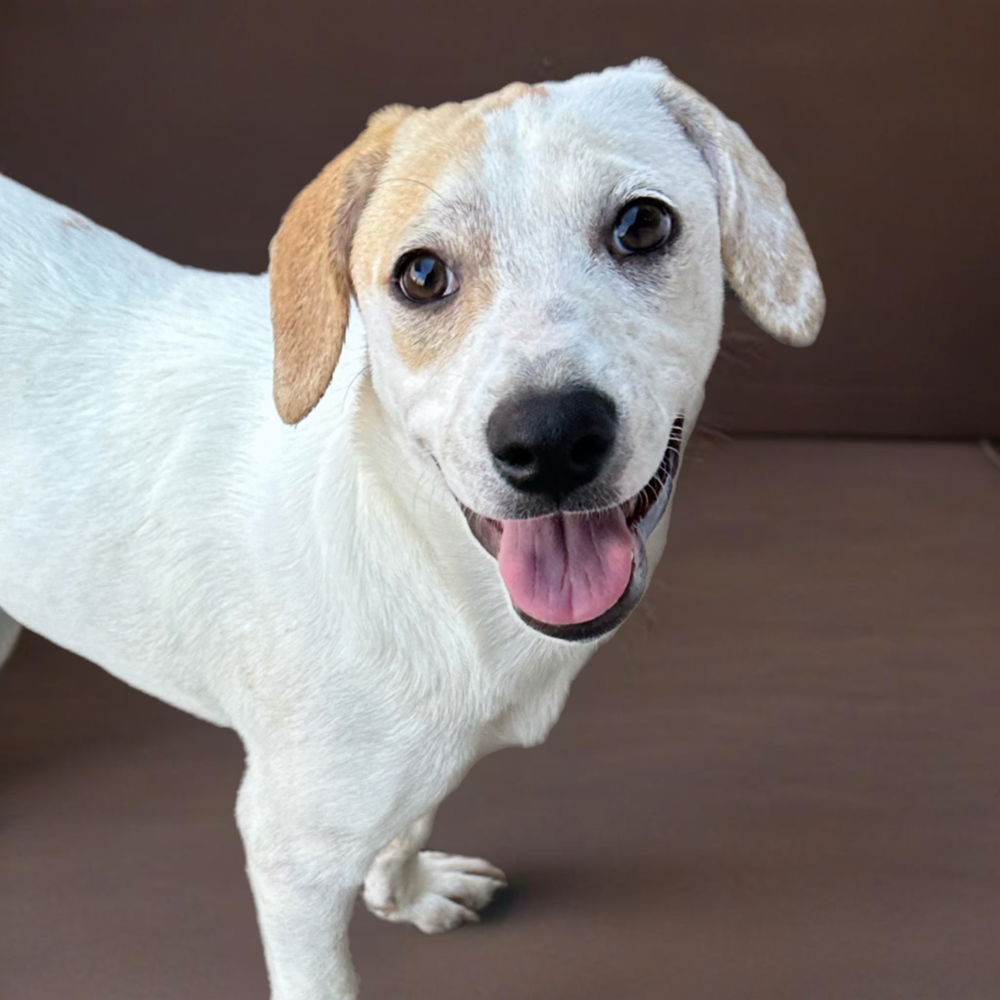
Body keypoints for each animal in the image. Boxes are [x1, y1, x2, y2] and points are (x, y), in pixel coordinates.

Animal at [0, 58, 824, 996]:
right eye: (422, 275)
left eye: (642, 224)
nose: (549, 440)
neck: (434, 572)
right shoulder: (288, 856)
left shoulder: (421, 765)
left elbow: (413, 818)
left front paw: (405, 890)